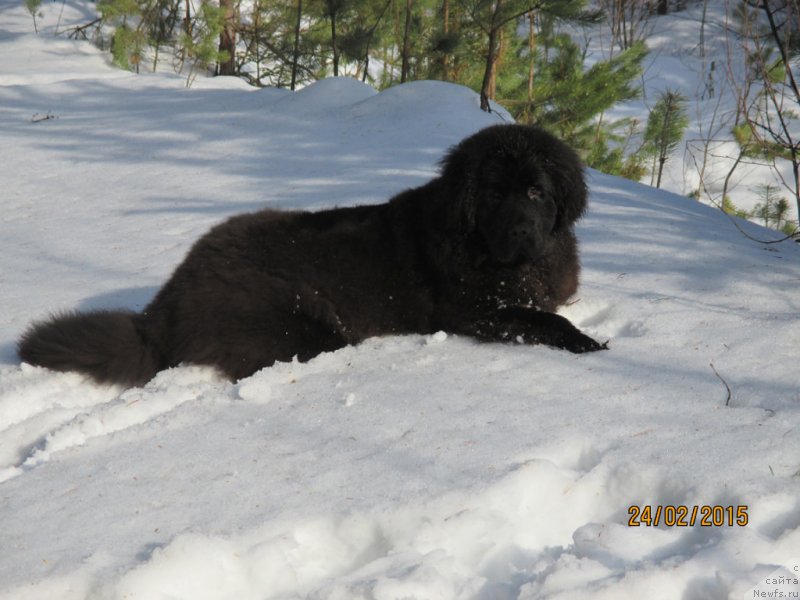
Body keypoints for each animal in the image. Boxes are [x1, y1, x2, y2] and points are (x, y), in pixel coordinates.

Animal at [17, 124, 608, 386]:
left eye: (535, 192)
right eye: (493, 195)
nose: (522, 229)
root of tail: (162, 306)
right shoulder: (477, 312)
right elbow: (546, 322)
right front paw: (591, 345)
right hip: (301, 325)